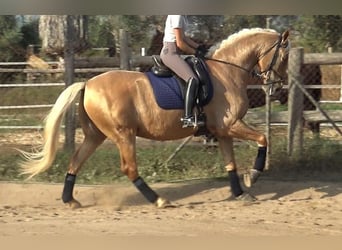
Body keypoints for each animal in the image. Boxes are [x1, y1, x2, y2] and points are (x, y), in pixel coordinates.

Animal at [20, 28, 288, 208]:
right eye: (283, 58)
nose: (277, 87)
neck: (226, 71)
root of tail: (88, 83)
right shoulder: (231, 125)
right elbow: (263, 138)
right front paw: (253, 175)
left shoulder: (222, 131)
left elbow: (230, 163)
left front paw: (241, 192)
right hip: (123, 134)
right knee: (129, 168)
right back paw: (159, 200)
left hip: (95, 135)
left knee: (76, 161)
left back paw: (70, 200)